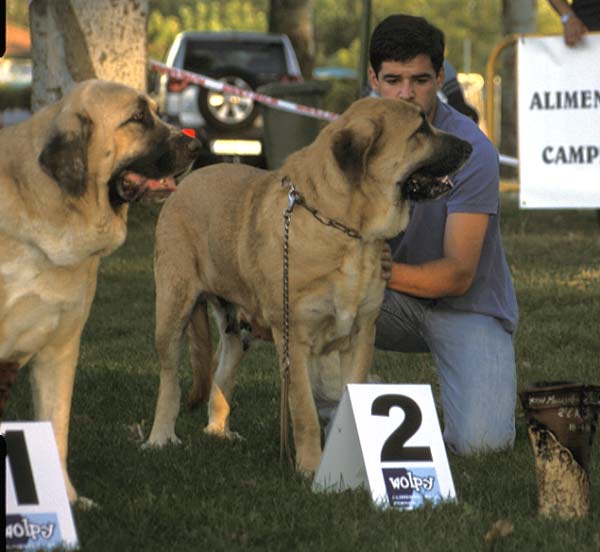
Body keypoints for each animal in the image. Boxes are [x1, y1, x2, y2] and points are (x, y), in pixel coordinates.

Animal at [0, 77, 202, 504]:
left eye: (156, 111)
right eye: (137, 118)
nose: (196, 148)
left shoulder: (59, 351)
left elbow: (56, 429)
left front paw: (67, 499)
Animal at [146, 96, 474, 474]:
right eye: (420, 129)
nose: (471, 146)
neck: (346, 228)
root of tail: (185, 182)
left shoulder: (361, 335)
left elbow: (351, 400)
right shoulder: (295, 340)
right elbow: (304, 411)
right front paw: (311, 467)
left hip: (236, 329)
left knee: (222, 376)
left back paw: (219, 431)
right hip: (173, 309)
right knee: (169, 378)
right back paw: (160, 437)